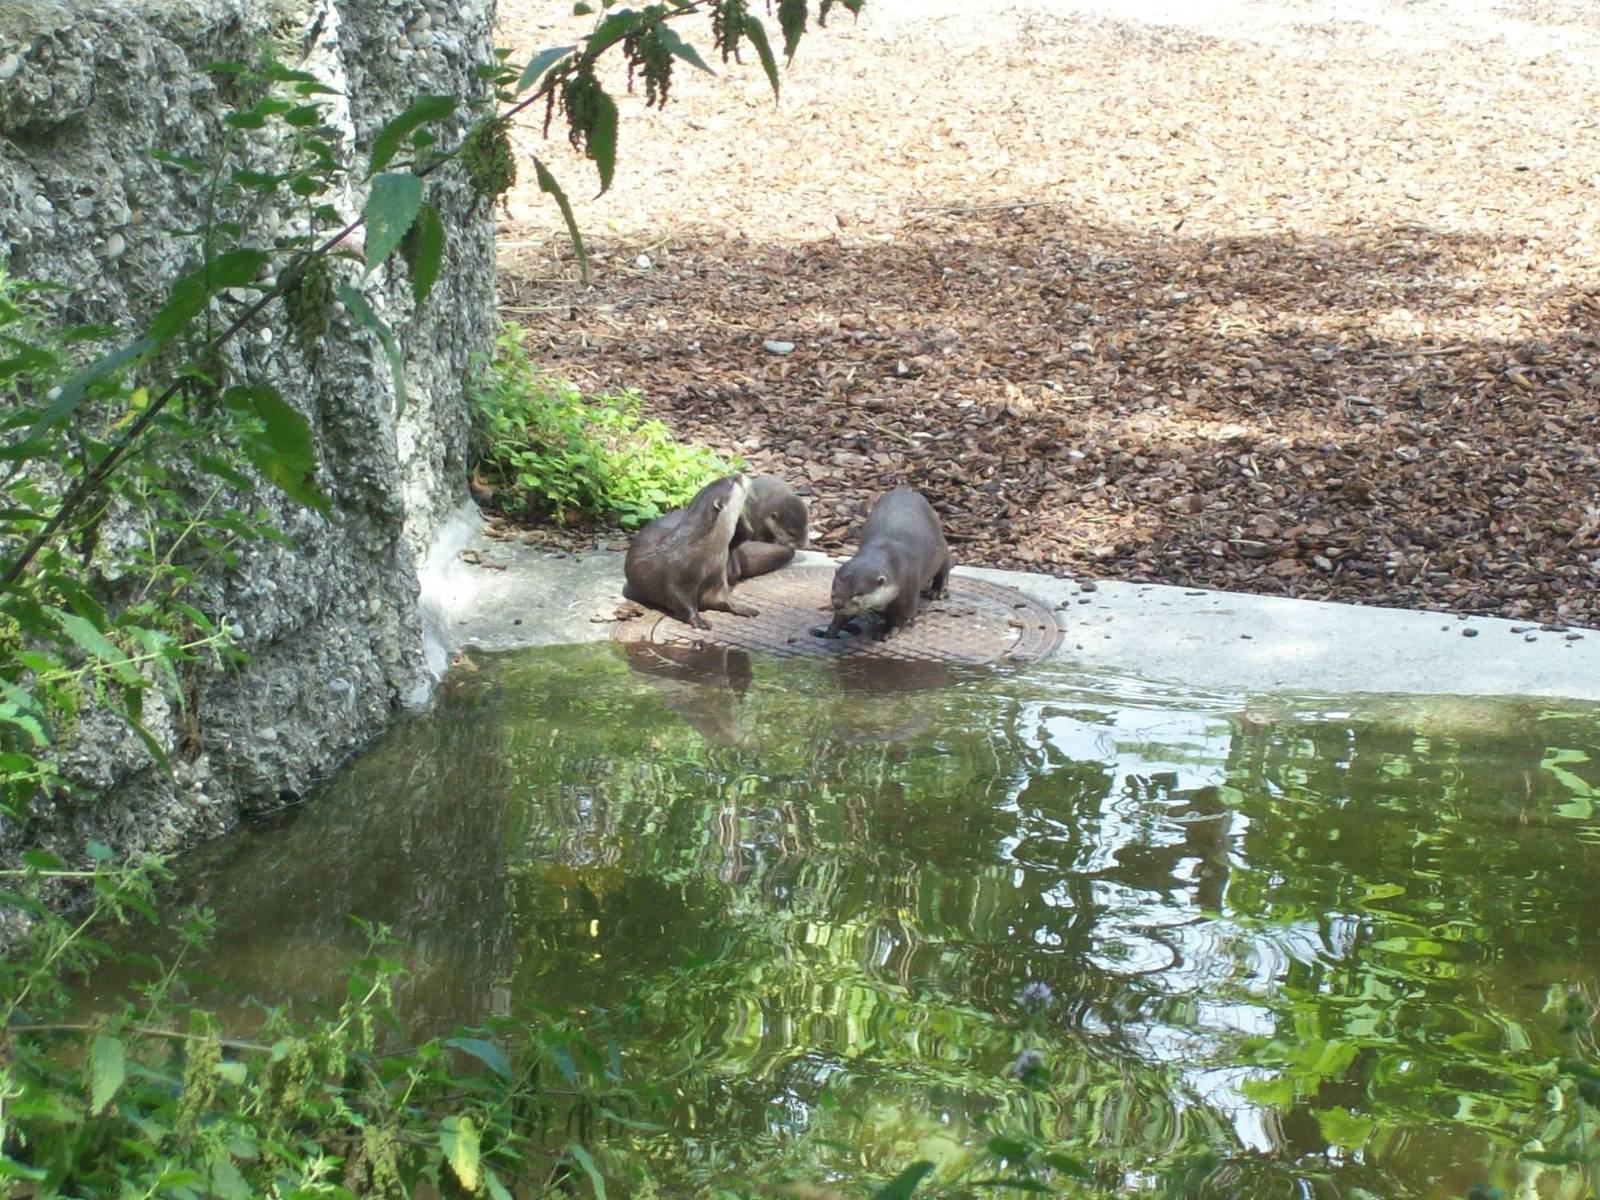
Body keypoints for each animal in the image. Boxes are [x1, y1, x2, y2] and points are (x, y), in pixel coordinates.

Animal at [624, 475, 759, 630]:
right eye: (733, 482)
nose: (740, 475)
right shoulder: (678, 577)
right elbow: (681, 600)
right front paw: (698, 621)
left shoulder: (717, 574)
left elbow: (722, 598)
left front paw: (741, 607)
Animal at [824, 488, 952, 641]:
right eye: (833, 592)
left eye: (858, 594)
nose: (838, 604)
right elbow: (842, 616)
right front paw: (830, 631)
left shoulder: (909, 586)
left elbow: (903, 614)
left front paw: (888, 630)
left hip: (940, 545)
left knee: (945, 567)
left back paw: (938, 591)